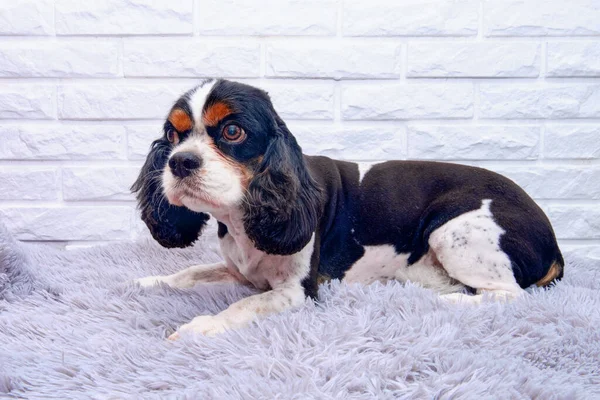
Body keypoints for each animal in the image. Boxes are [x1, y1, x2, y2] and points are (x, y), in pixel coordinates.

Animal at [131, 79, 564, 340]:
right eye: (172, 134)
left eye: (232, 132)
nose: (179, 162)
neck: (242, 219)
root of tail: (554, 243)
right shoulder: (240, 271)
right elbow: (189, 273)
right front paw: (150, 282)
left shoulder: (298, 291)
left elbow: (243, 306)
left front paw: (199, 327)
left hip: (453, 228)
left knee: (511, 295)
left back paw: (447, 301)